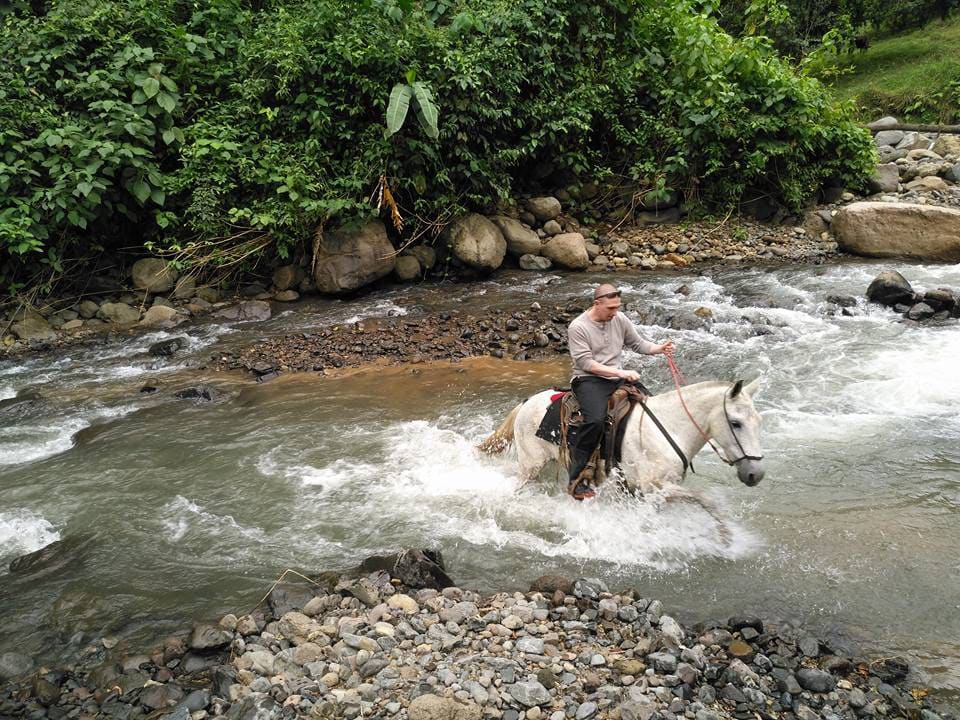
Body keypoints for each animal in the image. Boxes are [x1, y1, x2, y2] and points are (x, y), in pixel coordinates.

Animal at [478, 376, 764, 536]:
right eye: (736, 423)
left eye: (758, 421)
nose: (756, 474)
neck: (670, 427)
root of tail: (526, 403)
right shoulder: (656, 486)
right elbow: (706, 500)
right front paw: (727, 538)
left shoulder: (645, 491)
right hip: (531, 466)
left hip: (547, 467)